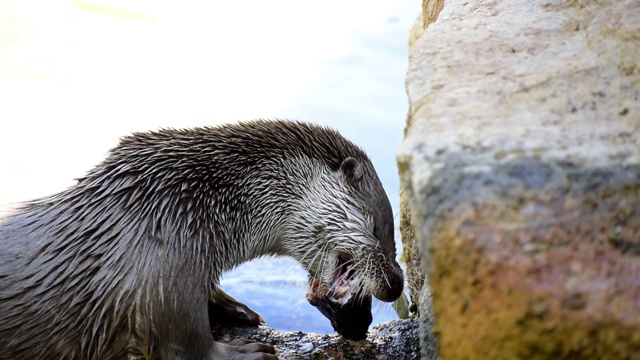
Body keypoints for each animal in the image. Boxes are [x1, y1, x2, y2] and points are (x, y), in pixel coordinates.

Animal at [0, 119, 400, 358]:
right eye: (378, 230)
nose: (396, 283)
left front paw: (234, 308)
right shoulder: (164, 268)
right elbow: (181, 344)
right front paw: (245, 353)